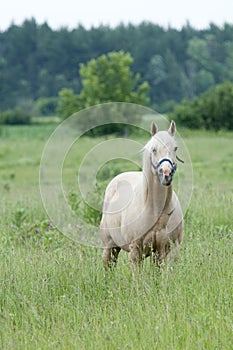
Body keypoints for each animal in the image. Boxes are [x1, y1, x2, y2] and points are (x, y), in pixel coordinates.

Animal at [100, 121, 184, 276]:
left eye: (175, 148)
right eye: (154, 149)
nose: (166, 174)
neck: (155, 210)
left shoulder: (167, 250)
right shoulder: (135, 250)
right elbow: (138, 277)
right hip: (109, 246)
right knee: (108, 266)